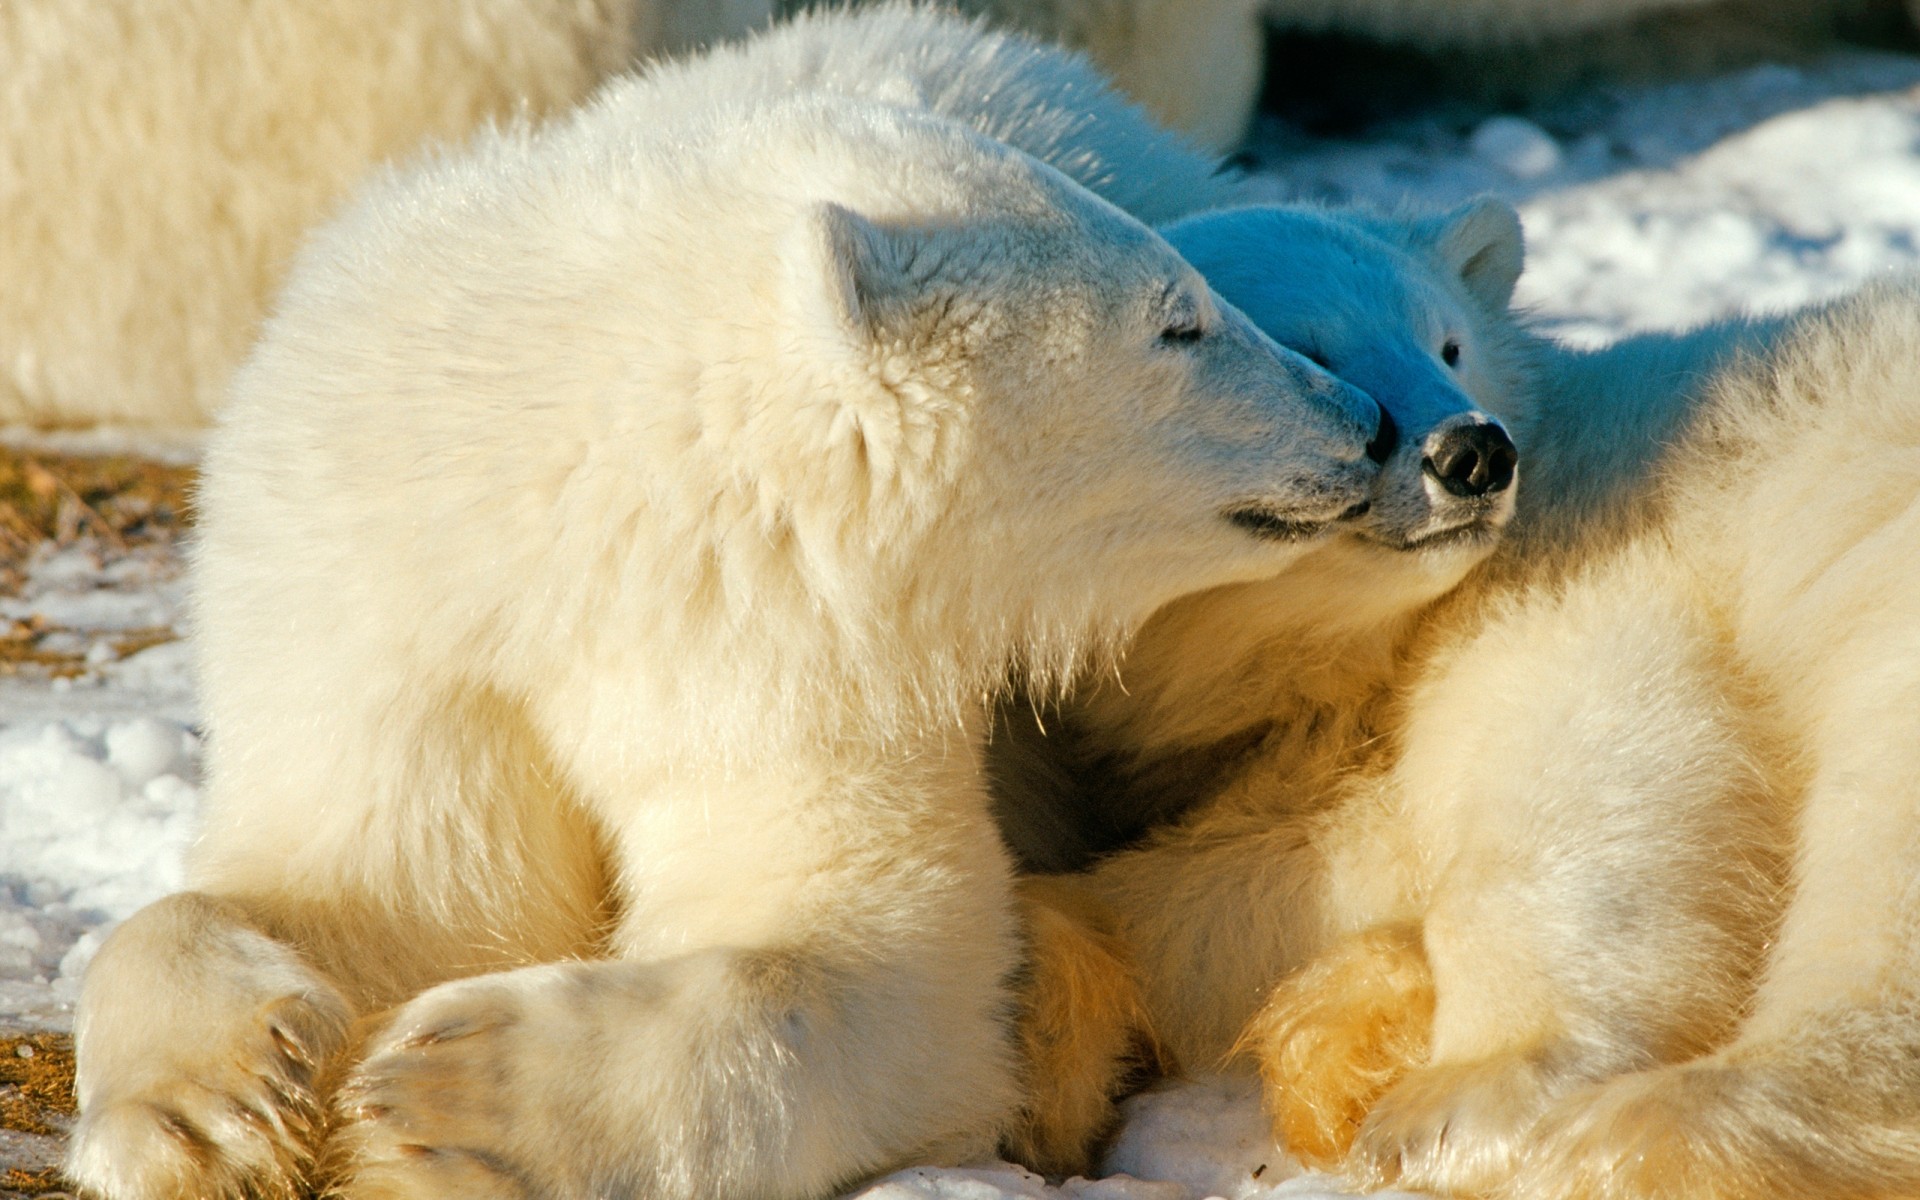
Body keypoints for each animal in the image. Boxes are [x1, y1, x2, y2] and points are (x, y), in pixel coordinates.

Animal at [56, 9, 1382, 1198]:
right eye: (1180, 320)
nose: (1361, 419)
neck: (569, 485)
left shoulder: (792, 640)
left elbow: (866, 952)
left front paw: (450, 1096)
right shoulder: (400, 605)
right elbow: (382, 888)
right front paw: (205, 1113)